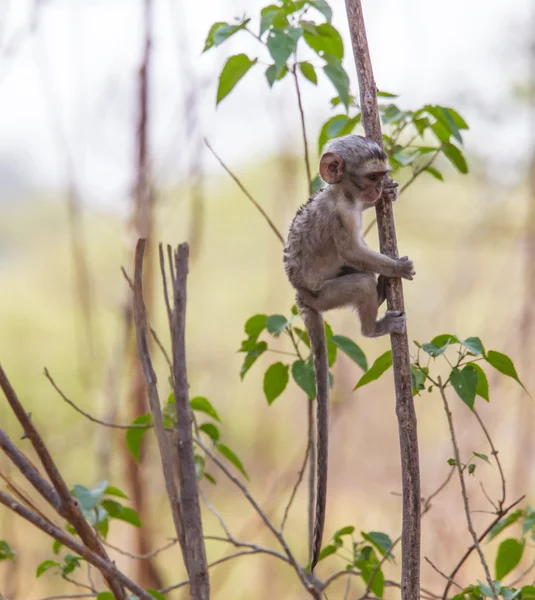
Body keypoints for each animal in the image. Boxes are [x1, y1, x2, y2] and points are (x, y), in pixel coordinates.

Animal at [282, 134, 416, 568]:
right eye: (369, 176)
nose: (377, 189)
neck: (343, 193)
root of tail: (302, 296)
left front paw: (390, 195)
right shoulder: (341, 215)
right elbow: (353, 251)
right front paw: (396, 267)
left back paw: (381, 291)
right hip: (326, 296)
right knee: (357, 279)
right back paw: (374, 323)